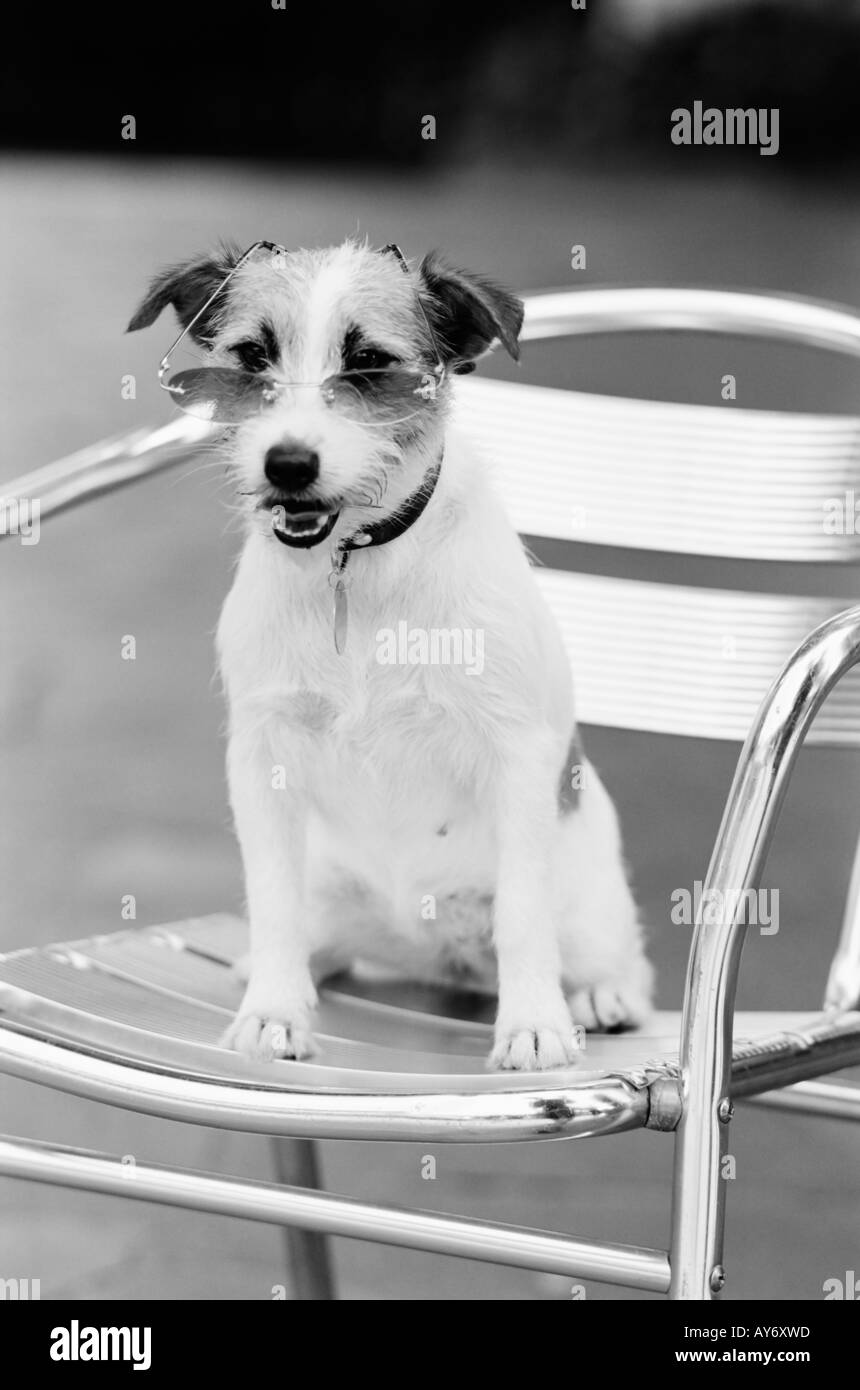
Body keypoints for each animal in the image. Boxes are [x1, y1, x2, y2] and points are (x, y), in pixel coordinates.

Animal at [126, 239, 652, 1067]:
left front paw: (533, 1024)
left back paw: (599, 995)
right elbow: (272, 902)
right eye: (251, 357)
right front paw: (273, 1009)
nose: (287, 464)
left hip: (592, 906)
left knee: (611, 958)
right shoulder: (262, 756)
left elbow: (523, 916)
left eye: (370, 363)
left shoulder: (517, 754)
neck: (355, 567)